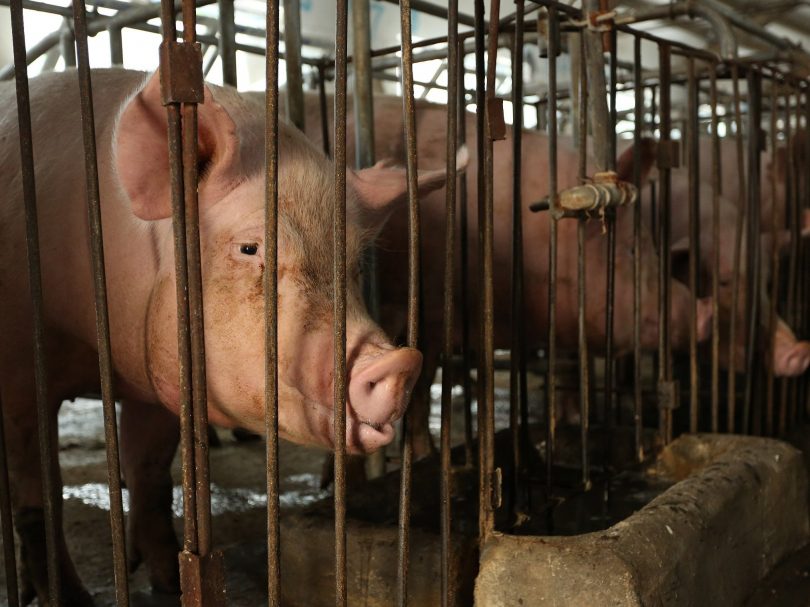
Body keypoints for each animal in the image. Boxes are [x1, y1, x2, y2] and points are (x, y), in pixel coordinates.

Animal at [0, 69, 457, 604]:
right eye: (250, 248)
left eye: (354, 264)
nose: (399, 364)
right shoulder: (20, 371)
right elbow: (39, 499)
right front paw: (75, 600)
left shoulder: (152, 385)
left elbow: (150, 479)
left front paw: (168, 585)